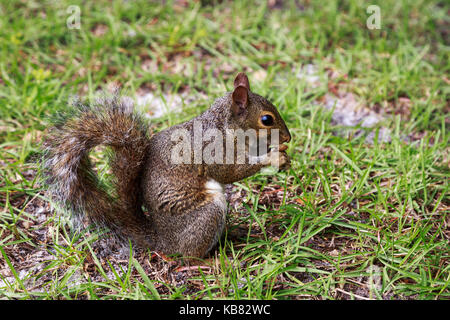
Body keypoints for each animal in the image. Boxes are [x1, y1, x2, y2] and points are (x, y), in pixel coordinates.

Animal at [43, 72, 292, 258]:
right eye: (266, 120)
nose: (288, 138)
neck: (226, 127)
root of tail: (163, 241)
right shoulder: (215, 150)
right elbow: (229, 171)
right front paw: (273, 158)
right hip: (207, 214)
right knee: (190, 254)